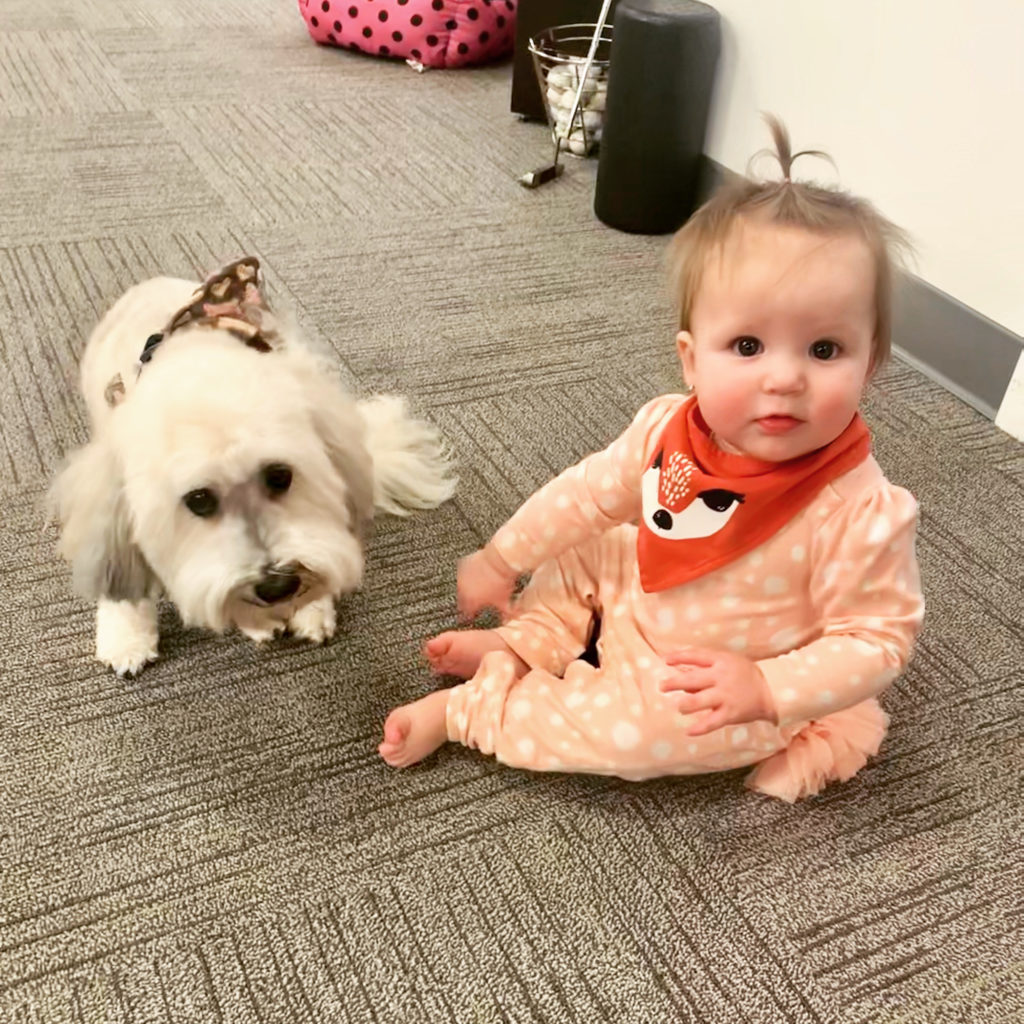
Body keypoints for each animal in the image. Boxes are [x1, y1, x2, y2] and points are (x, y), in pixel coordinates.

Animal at [50, 254, 452, 671]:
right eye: (199, 500)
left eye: (280, 476)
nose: (277, 585)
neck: (196, 358)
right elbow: (122, 582)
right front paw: (127, 639)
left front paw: (308, 609)